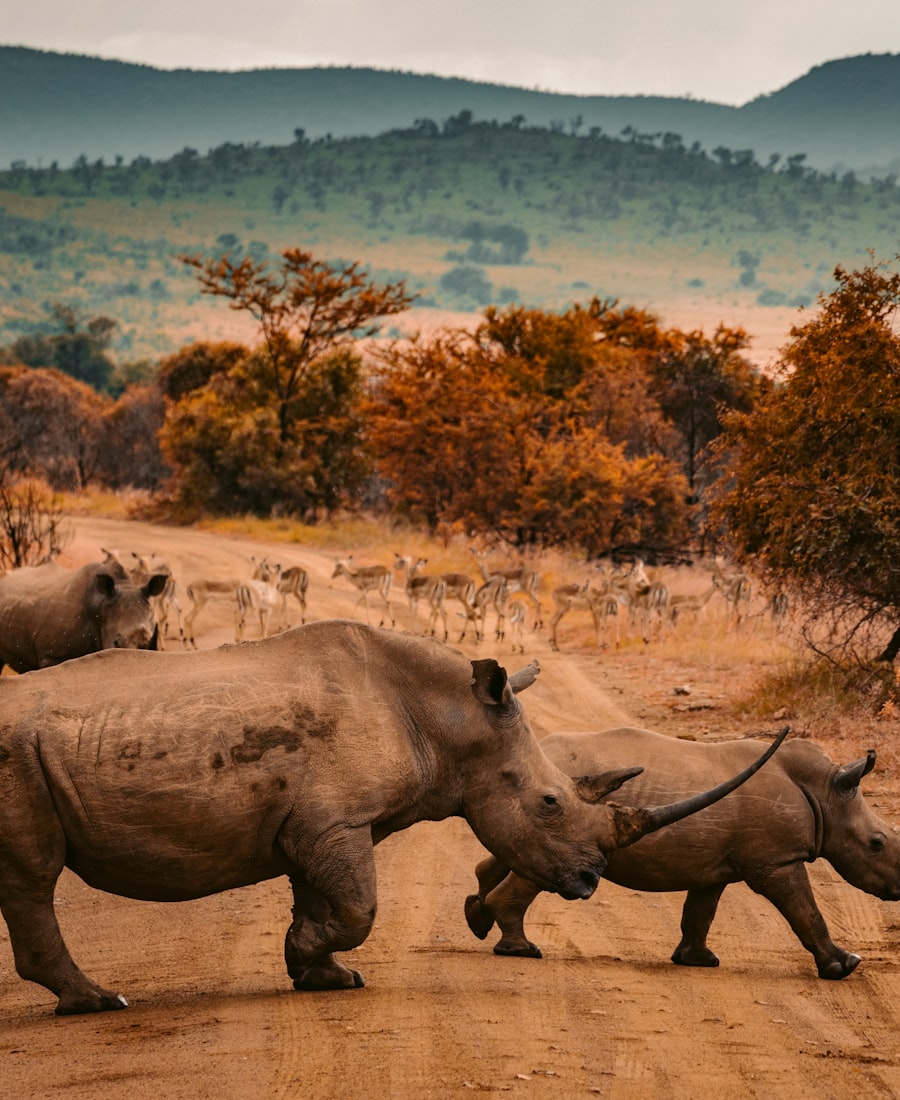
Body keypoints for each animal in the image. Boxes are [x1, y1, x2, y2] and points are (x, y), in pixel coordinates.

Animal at [0, 622, 784, 1015]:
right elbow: (359, 908)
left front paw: (321, 975)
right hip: (15, 755)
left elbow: (326, 900)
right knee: (33, 876)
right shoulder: (334, 822)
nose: (591, 881)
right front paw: (309, 956)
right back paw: (100, 1004)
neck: (449, 718)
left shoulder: (319, 825)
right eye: (550, 802)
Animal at [465, 726, 899, 979]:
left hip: (539, 803)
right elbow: (806, 912)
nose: (898, 889)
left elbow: (700, 912)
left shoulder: (715, 864)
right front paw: (844, 966)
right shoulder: (776, 861)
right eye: (876, 844)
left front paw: (698, 961)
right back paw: (522, 951)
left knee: (511, 852)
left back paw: (479, 919)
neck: (826, 794)